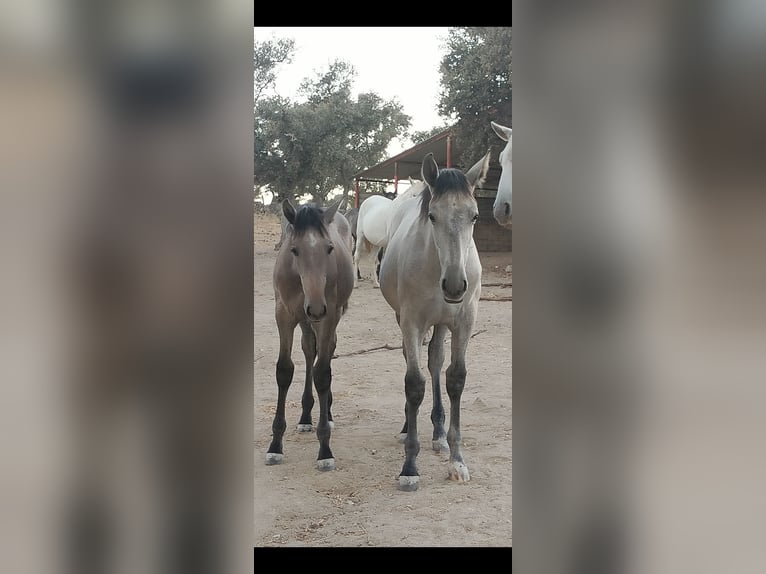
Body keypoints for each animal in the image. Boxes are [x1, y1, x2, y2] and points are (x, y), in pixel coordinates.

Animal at [266, 199, 355, 472]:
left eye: (329, 249)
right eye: (294, 250)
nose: (315, 307)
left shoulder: (327, 317)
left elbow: (322, 374)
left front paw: (325, 449)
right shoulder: (283, 315)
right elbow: (284, 370)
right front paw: (275, 445)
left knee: (325, 353)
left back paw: (327, 412)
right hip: (305, 320)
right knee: (308, 351)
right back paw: (305, 416)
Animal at [379, 149, 491, 491]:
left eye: (474, 216)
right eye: (432, 216)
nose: (454, 286)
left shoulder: (465, 322)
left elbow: (455, 378)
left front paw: (457, 459)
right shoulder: (411, 322)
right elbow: (414, 384)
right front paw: (409, 466)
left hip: (442, 323)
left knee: (435, 361)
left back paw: (439, 433)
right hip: (404, 319)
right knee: (412, 362)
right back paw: (407, 426)